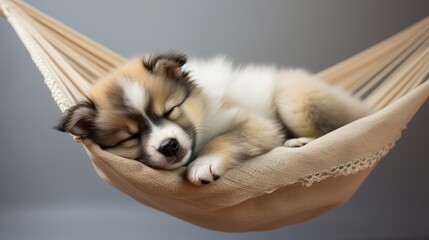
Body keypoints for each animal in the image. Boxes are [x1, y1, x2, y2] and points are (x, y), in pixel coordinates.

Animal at [55, 51, 370, 185]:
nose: (169, 146)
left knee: (331, 130)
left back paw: (299, 143)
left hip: (292, 96)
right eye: (130, 137)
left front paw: (203, 164)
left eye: (170, 110)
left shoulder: (255, 123)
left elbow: (223, 139)